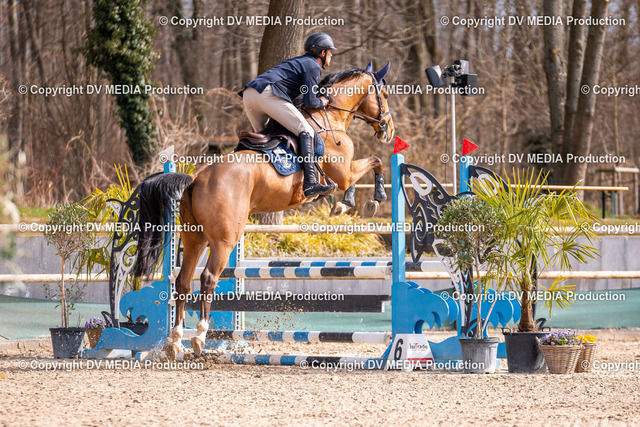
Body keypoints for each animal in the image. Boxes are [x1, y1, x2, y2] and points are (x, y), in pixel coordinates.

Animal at [132, 63, 395, 359]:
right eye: (384, 94)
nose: (389, 130)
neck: (330, 118)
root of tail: (196, 177)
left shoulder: (343, 174)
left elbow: (358, 176)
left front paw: (341, 203)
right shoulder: (345, 172)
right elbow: (376, 162)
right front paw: (374, 199)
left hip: (193, 238)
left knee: (183, 282)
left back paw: (175, 341)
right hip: (224, 240)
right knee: (208, 278)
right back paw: (199, 336)